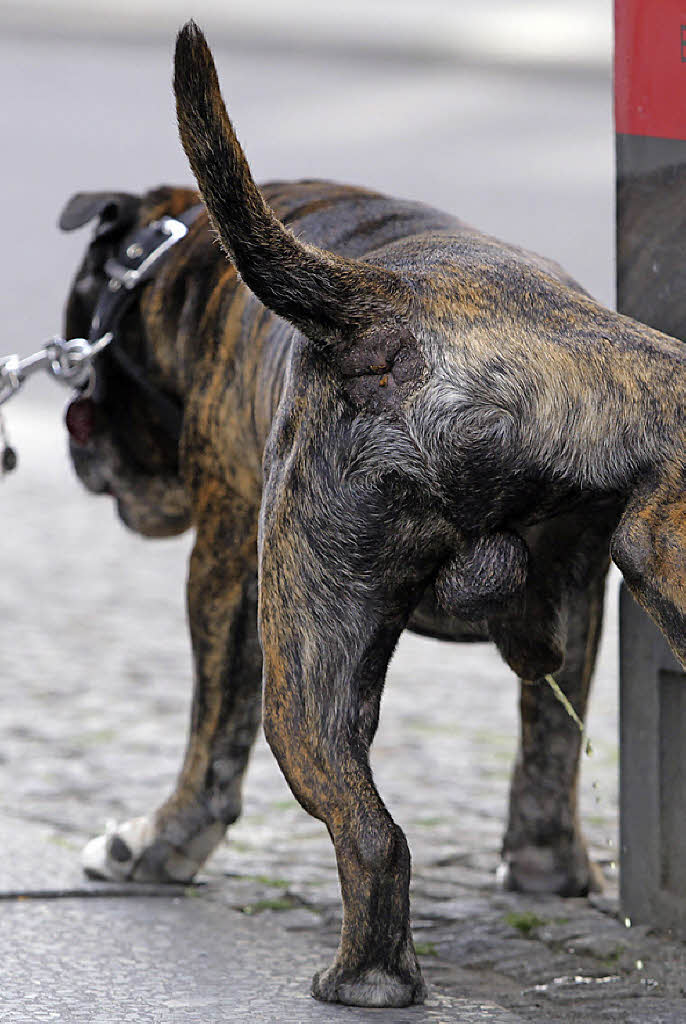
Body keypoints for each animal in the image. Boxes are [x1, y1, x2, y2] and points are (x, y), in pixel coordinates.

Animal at [60, 22, 685, 1008]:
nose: (75, 441)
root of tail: (404, 312)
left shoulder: (225, 563)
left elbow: (210, 745)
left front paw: (153, 850)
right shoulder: (583, 603)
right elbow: (547, 748)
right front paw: (546, 871)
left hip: (308, 654)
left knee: (371, 834)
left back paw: (364, 980)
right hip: (658, 546)